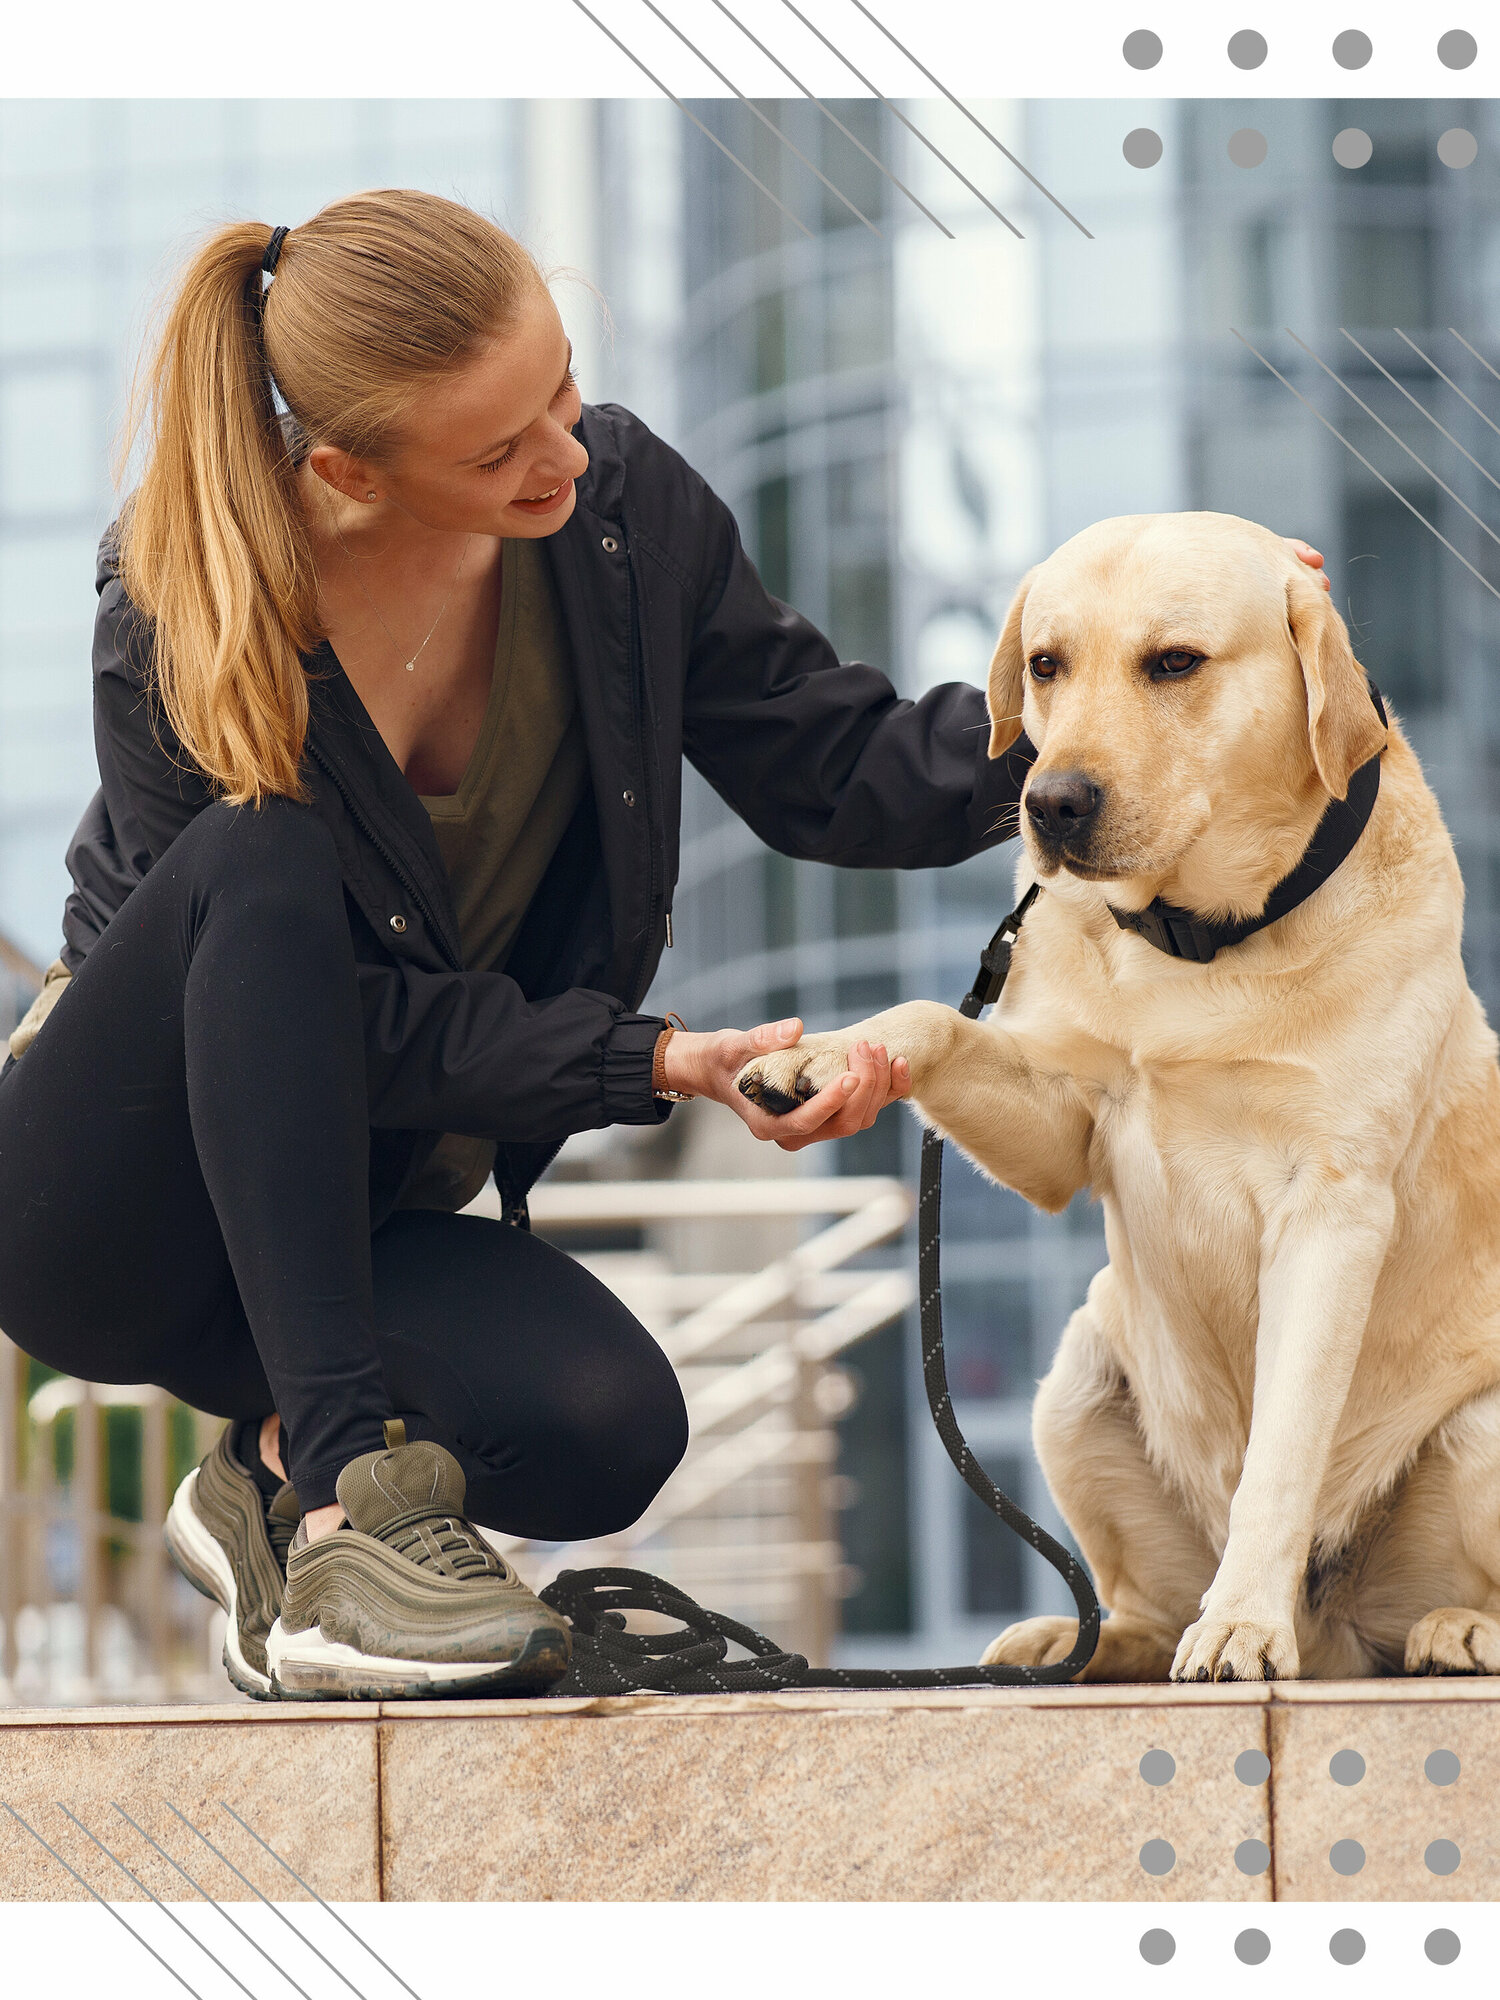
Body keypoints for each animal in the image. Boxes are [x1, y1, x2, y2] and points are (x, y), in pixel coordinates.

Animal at [744, 512, 1500, 1672]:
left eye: (1175, 663)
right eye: (1046, 665)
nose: (1051, 801)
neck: (1200, 941)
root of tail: (1330, 1632)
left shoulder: (1335, 1206)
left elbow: (1283, 1446)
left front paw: (1241, 1621)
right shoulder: (1068, 1123)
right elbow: (931, 1019)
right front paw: (829, 1056)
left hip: (1481, 1428)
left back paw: (1449, 1625)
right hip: (1078, 1374)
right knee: (1136, 1608)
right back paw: (1070, 1638)